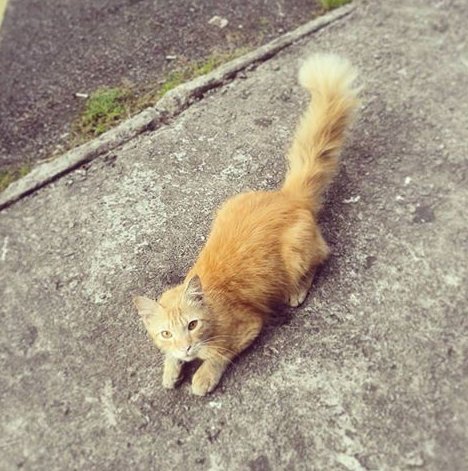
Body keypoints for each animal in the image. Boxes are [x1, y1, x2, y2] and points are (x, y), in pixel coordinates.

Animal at [133, 53, 360, 396]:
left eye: (192, 325)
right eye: (166, 334)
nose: (186, 347)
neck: (213, 302)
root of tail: (285, 196)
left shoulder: (250, 326)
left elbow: (220, 355)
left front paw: (201, 376)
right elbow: (170, 361)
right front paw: (172, 368)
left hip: (296, 252)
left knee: (321, 258)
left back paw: (296, 291)